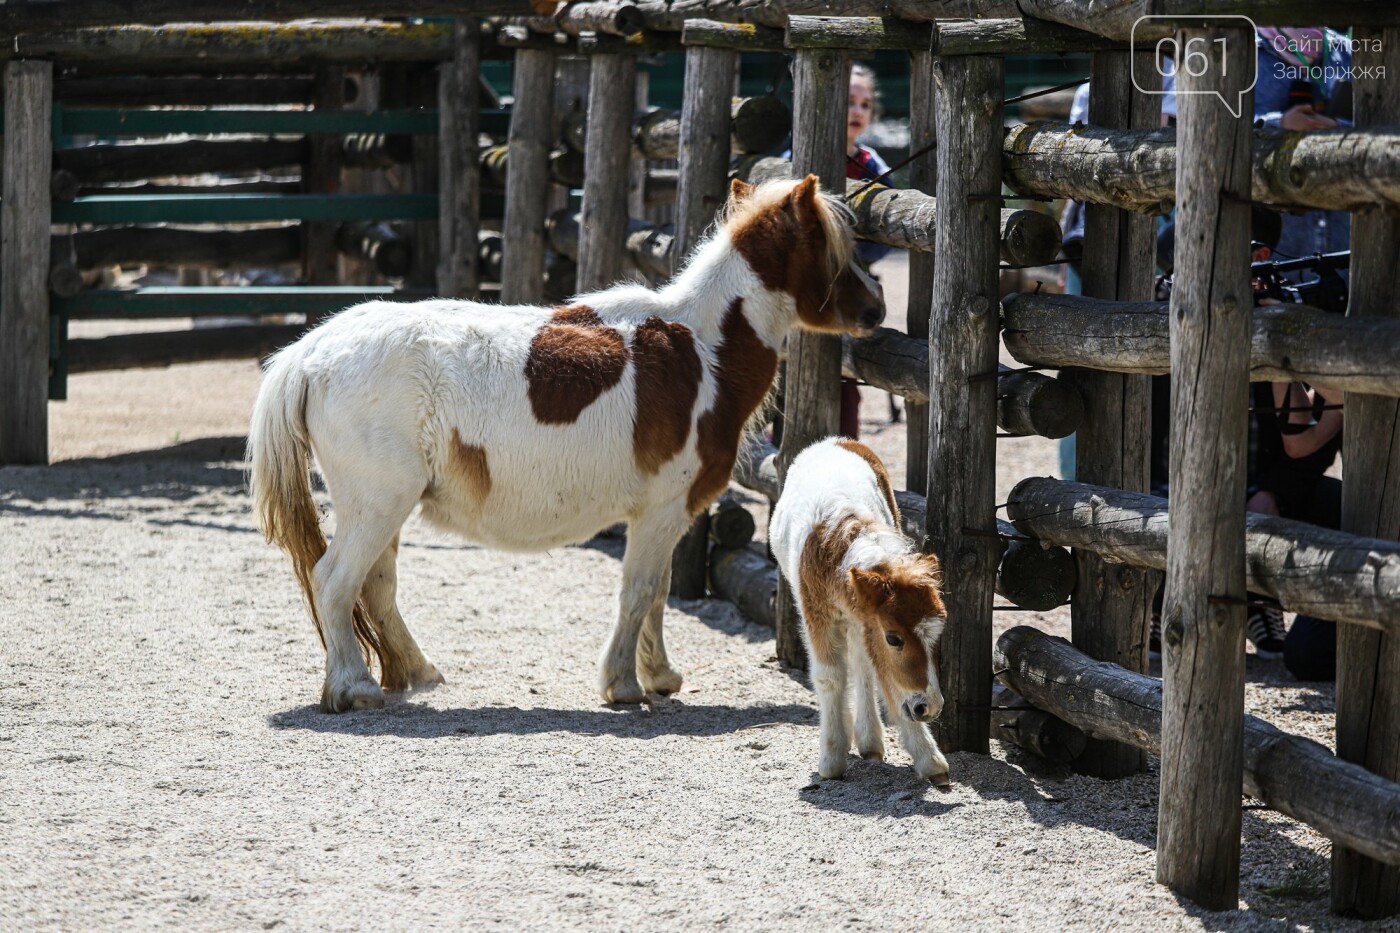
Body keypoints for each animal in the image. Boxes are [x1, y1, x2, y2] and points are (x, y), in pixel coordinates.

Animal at [249, 176, 884, 711]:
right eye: (831, 246)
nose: (875, 306)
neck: (703, 349)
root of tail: (311, 352)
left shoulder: (664, 516)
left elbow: (658, 594)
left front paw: (659, 674)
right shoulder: (662, 511)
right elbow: (639, 592)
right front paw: (624, 684)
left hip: (383, 509)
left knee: (376, 588)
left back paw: (414, 672)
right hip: (378, 505)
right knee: (335, 582)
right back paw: (353, 688)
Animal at [767, 437, 952, 778]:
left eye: (937, 635)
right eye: (894, 638)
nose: (929, 707)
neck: (832, 549)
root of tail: (837, 439)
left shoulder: (867, 621)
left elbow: (882, 673)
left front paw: (928, 758)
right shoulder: (817, 615)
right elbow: (830, 677)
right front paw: (831, 759)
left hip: (858, 622)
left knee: (863, 663)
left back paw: (869, 741)